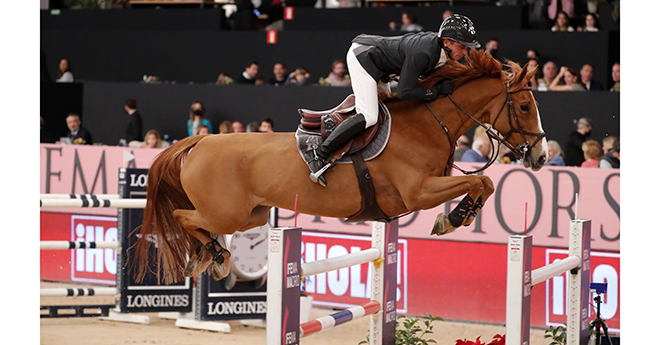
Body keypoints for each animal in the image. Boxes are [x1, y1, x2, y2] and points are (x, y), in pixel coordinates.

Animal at [133, 49, 548, 284]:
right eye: (524, 106)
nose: (541, 157)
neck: (428, 122)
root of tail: (200, 141)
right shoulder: (418, 192)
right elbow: (480, 182)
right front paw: (454, 218)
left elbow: (484, 184)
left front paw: (458, 216)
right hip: (227, 213)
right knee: (185, 218)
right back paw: (214, 257)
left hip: (253, 214)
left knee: (197, 221)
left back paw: (207, 257)